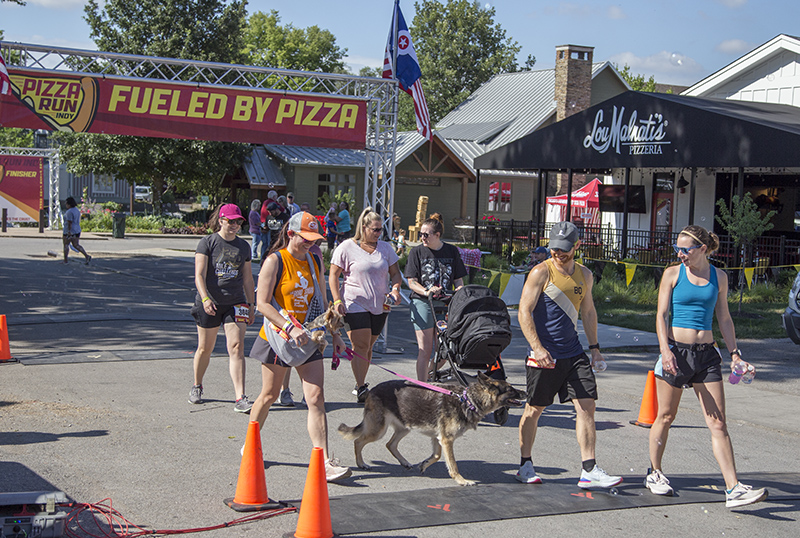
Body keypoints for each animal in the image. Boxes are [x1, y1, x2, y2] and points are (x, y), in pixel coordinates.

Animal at [338, 370, 524, 484]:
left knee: (390, 444)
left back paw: (404, 462)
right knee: (358, 441)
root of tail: (372, 390)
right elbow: (453, 464)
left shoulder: (438, 438)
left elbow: (436, 455)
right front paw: (461, 480)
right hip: (378, 430)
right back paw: (361, 464)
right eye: (511, 389)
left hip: (404, 428)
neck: (467, 400)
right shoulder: (447, 440)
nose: (526, 393)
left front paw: (424, 464)